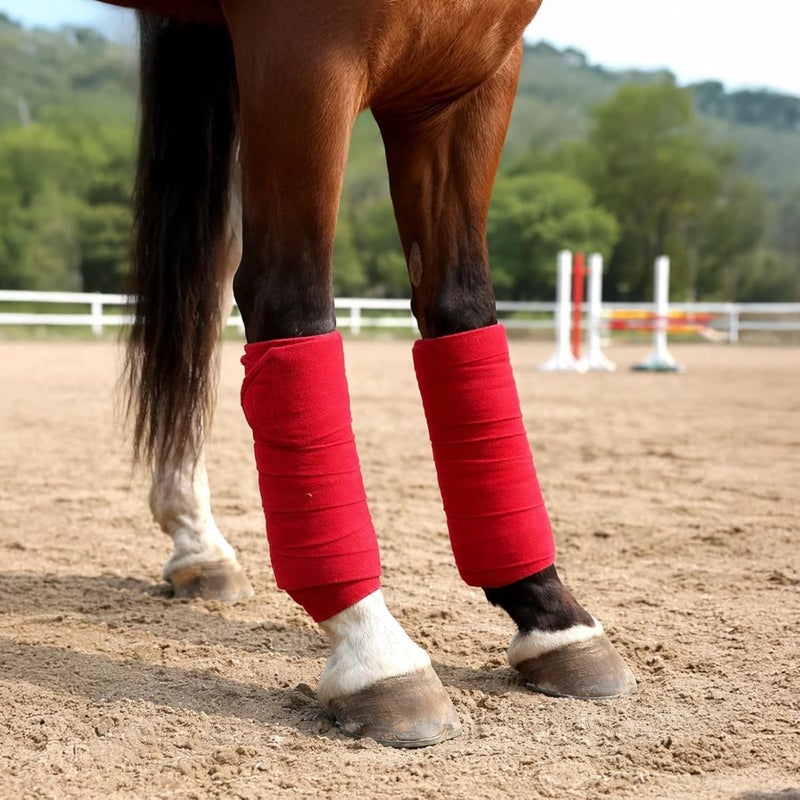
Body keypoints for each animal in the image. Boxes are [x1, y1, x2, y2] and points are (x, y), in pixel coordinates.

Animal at [101, 0, 636, 747]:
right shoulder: (303, 56)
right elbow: (290, 301)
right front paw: (373, 650)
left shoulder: (469, 77)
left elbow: (459, 306)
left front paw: (551, 613)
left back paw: (199, 545)